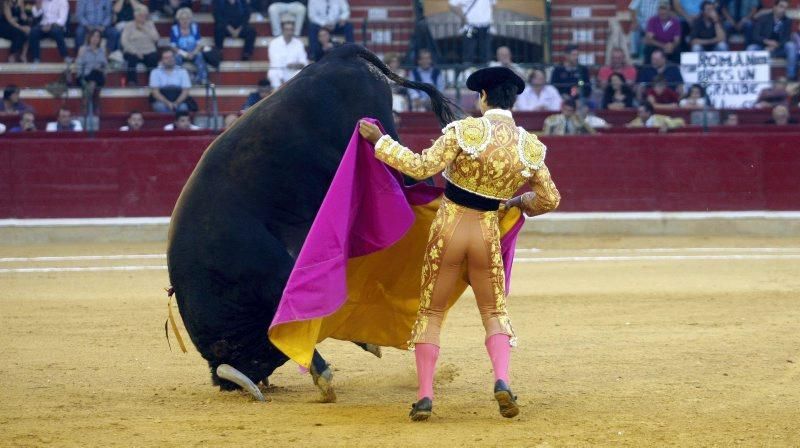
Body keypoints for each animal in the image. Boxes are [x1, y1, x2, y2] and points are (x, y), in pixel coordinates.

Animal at [167, 43, 456, 390]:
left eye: (246, 354)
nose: (232, 384)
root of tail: (339, 54)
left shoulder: (273, 275)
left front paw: (323, 376)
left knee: (415, 173)